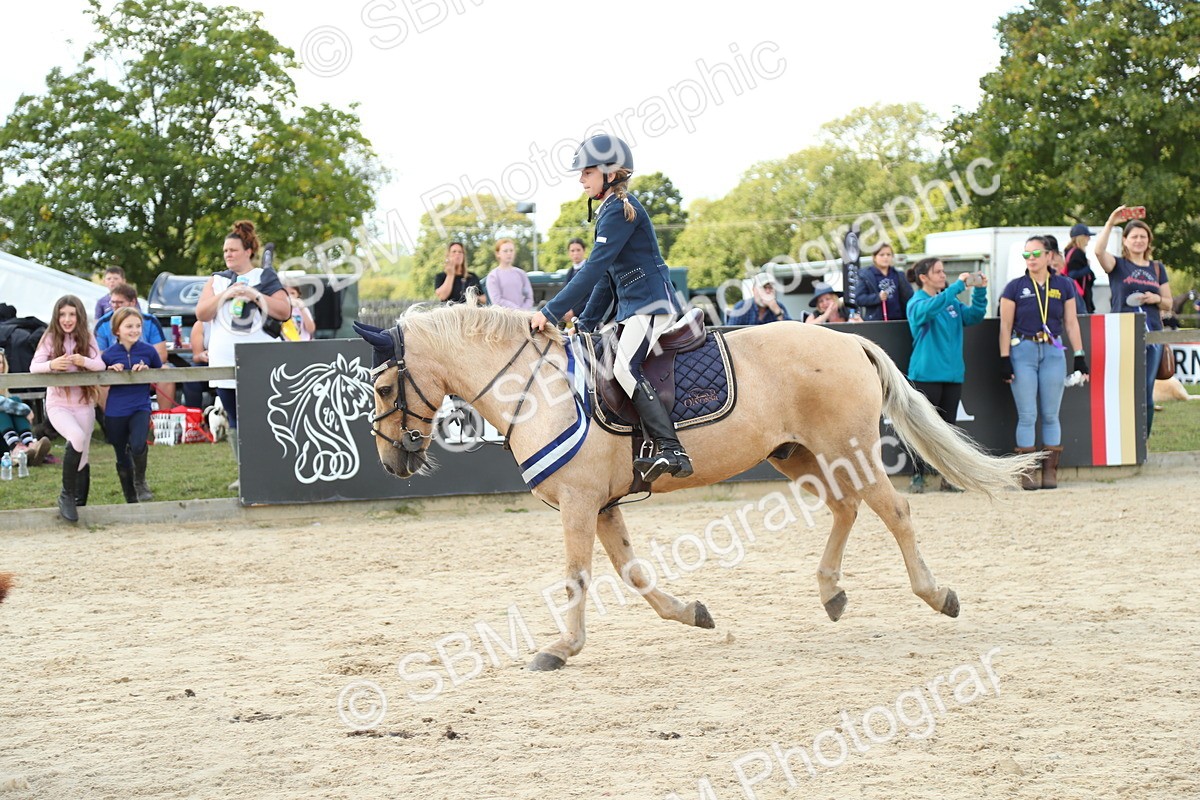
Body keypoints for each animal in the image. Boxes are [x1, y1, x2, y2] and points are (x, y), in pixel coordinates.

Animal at [355, 304, 1038, 671]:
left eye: (384, 388)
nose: (391, 461)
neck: (536, 388)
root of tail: (846, 338)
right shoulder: (602, 505)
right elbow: (631, 573)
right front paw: (691, 614)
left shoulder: (578, 504)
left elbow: (577, 576)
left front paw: (561, 647)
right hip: (801, 457)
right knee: (846, 509)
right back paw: (831, 593)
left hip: (850, 452)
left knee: (894, 512)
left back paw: (936, 594)